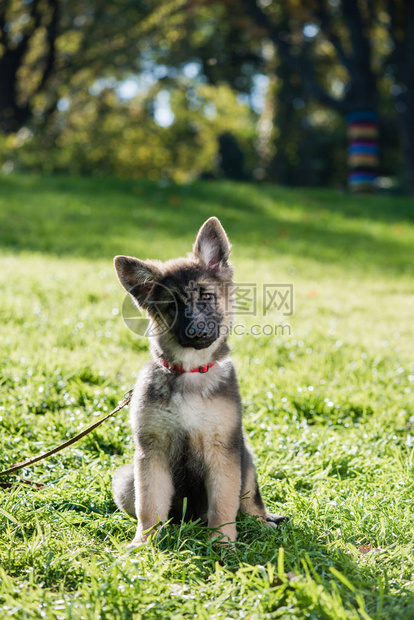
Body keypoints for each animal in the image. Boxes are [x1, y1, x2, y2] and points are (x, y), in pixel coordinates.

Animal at [111, 216, 286, 544]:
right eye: (172, 306)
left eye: (206, 296)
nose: (197, 331)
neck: (190, 373)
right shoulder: (151, 452)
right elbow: (149, 504)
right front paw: (144, 543)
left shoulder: (224, 452)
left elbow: (224, 505)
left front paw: (223, 544)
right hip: (126, 479)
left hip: (246, 461)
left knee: (251, 501)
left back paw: (262, 523)